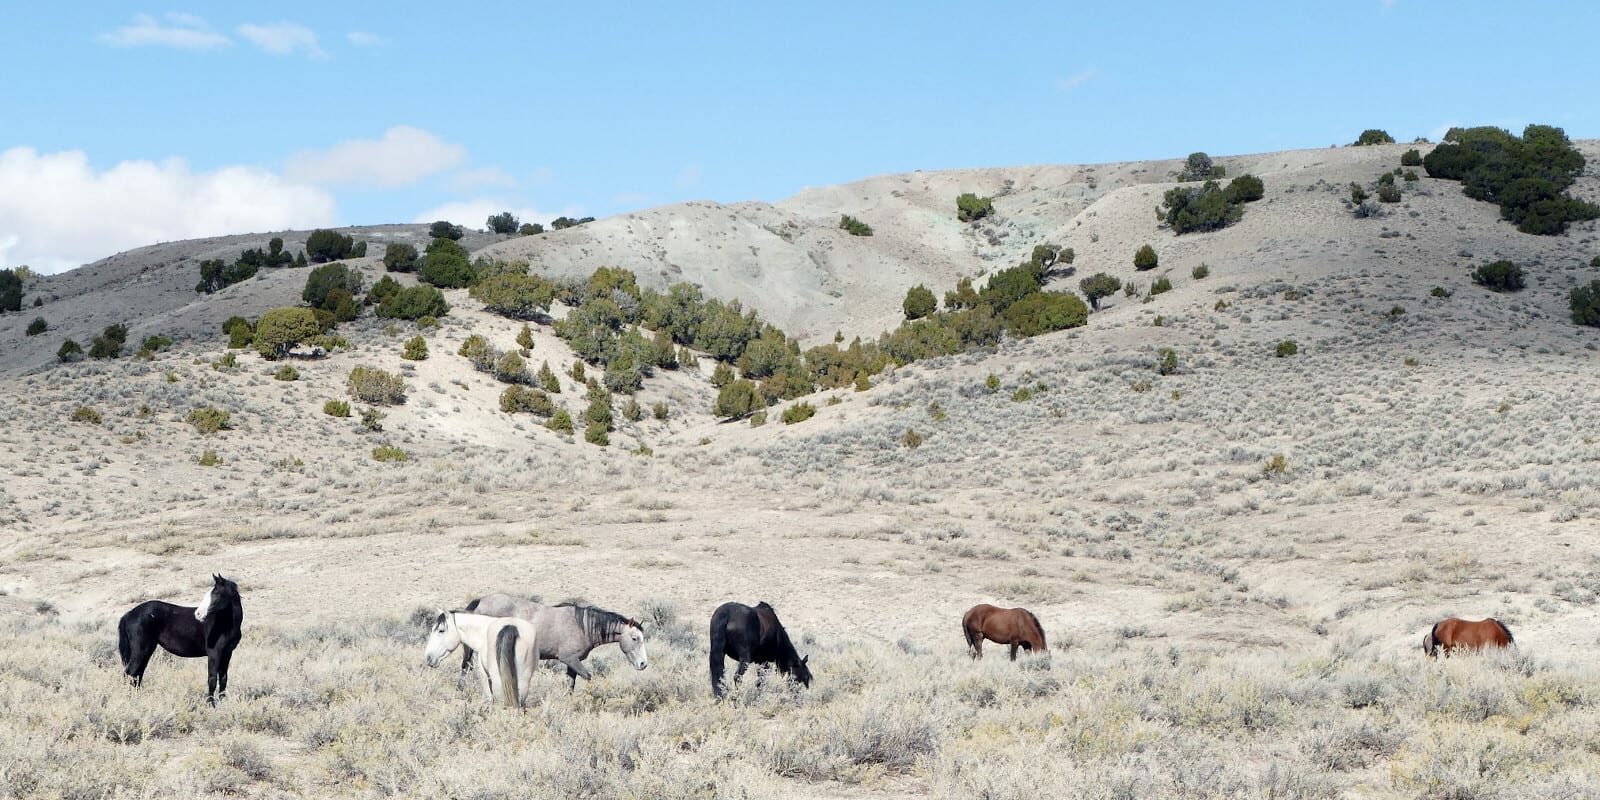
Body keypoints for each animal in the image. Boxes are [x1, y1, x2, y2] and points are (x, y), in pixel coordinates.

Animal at [117, 572, 243, 704]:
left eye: (216, 593)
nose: (198, 614)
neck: (224, 624)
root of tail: (129, 614)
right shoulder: (214, 653)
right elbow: (212, 679)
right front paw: (210, 704)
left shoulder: (227, 653)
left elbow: (223, 678)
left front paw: (223, 702)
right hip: (140, 650)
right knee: (130, 673)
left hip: (147, 649)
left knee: (138, 673)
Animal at [460, 595, 646, 688]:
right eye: (634, 638)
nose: (643, 664)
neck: (582, 626)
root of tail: (480, 601)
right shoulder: (570, 659)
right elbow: (587, 677)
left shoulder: (572, 662)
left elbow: (571, 684)